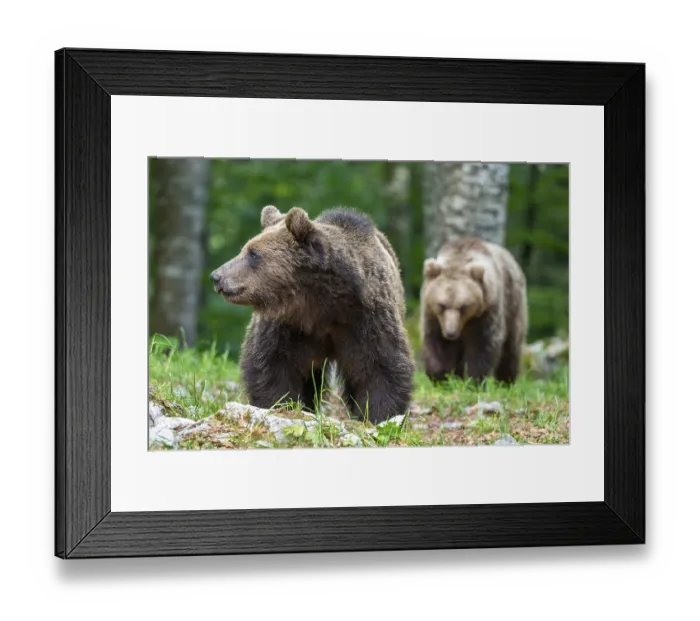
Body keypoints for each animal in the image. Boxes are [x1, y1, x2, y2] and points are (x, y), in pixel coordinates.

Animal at [209, 205, 415, 424]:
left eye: (253, 253)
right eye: (246, 249)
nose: (216, 276)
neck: (321, 305)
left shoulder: (366, 319)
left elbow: (381, 367)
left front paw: (376, 416)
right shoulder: (287, 325)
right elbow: (271, 365)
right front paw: (279, 405)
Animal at [419, 237, 528, 383]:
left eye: (463, 306)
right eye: (442, 305)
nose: (451, 333)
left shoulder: (486, 313)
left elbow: (482, 346)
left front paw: (474, 380)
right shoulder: (434, 317)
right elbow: (437, 343)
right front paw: (441, 377)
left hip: (513, 304)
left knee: (511, 348)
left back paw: (506, 380)